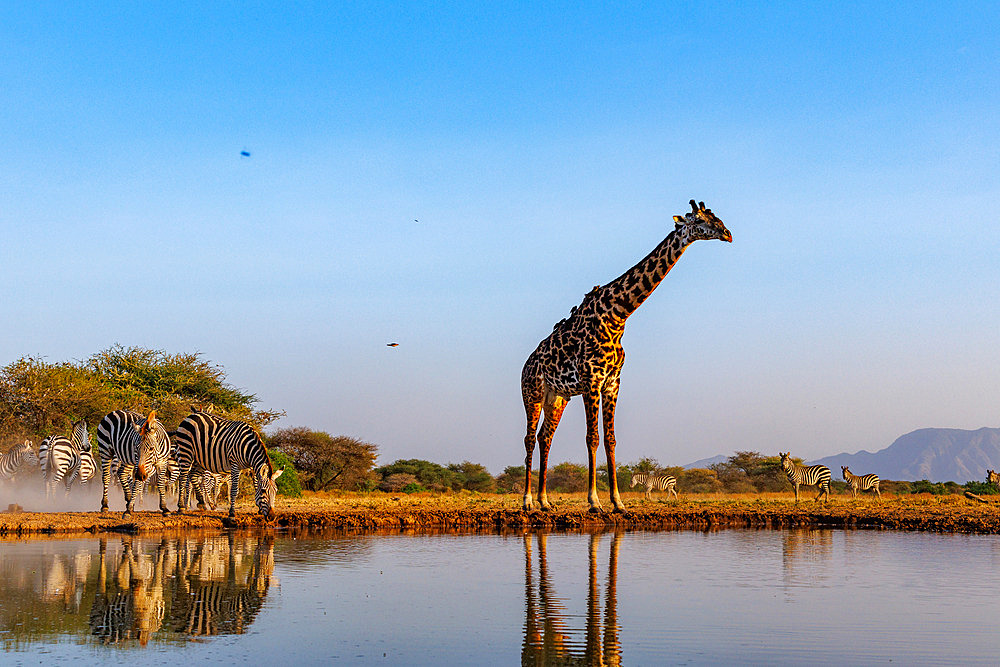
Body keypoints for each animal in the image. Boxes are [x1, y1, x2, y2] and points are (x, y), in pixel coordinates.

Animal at [520, 198, 732, 512]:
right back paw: (527, 501)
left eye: (716, 217)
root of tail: (525, 365)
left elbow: (610, 439)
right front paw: (594, 502)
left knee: (545, 437)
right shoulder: (591, 380)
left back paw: (545, 502)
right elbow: (592, 438)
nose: (727, 234)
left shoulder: (612, 382)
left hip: (557, 398)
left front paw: (618, 502)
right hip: (532, 392)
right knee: (529, 439)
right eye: (698, 220)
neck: (618, 315)